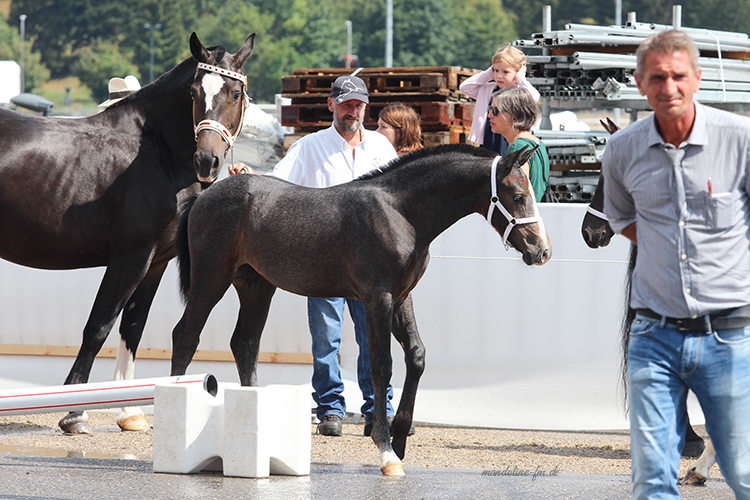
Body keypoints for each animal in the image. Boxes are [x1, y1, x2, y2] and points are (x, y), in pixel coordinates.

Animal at [0, 32, 255, 434]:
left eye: (234, 93)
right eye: (194, 92)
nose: (207, 161)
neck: (154, 151)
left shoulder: (155, 262)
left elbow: (132, 328)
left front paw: (130, 412)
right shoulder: (129, 256)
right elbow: (98, 327)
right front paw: (74, 412)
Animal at [169, 144, 551, 475]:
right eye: (518, 196)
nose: (542, 251)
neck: (400, 213)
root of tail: (205, 195)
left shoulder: (402, 297)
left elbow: (416, 356)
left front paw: (400, 438)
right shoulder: (377, 296)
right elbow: (381, 365)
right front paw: (386, 451)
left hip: (256, 286)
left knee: (245, 344)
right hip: (211, 279)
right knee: (185, 336)